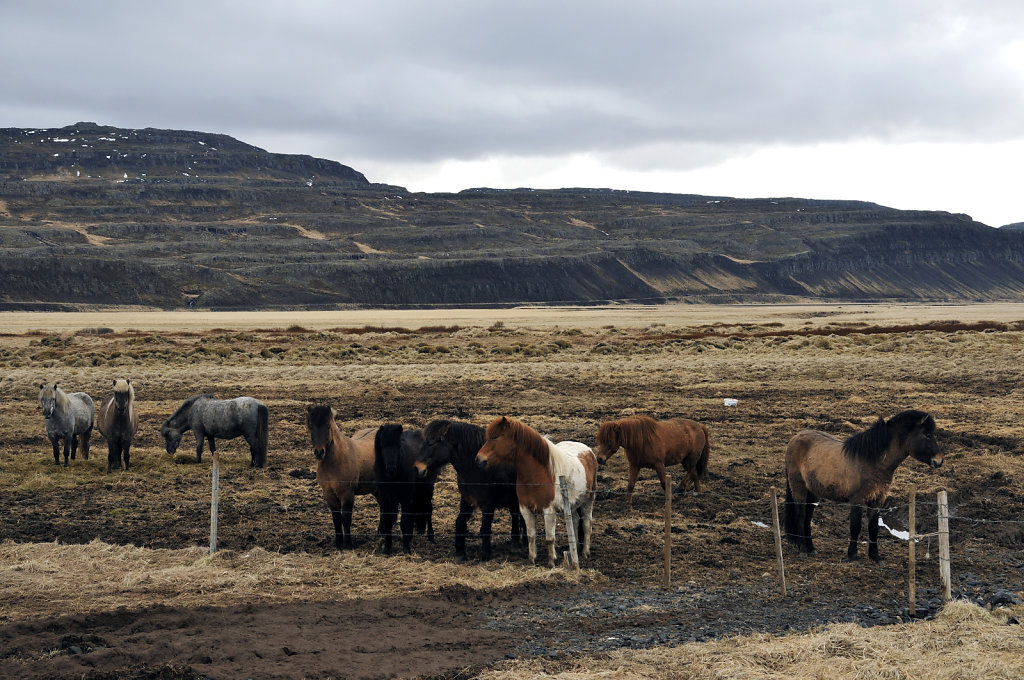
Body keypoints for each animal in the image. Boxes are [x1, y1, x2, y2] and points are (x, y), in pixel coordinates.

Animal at [307, 405, 380, 548]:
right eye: (311, 426)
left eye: (328, 426)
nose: (319, 452)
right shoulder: (329, 494)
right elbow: (336, 519)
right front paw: (338, 543)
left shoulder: (347, 494)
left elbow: (346, 519)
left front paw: (348, 544)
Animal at [372, 421, 432, 557]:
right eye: (382, 446)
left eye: (399, 446)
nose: (391, 469)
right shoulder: (385, 498)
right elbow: (388, 521)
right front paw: (387, 548)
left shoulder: (405, 497)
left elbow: (404, 522)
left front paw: (406, 549)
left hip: (427, 490)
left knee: (428, 510)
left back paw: (431, 536)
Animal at [411, 419, 524, 561]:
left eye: (434, 442)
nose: (417, 469)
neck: (478, 469)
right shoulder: (466, 500)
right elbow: (460, 523)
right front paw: (460, 553)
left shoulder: (488, 504)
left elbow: (485, 528)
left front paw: (485, 554)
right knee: (515, 516)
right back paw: (515, 542)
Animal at [473, 413, 598, 569]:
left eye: (496, 437)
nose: (478, 459)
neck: (538, 474)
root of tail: (588, 450)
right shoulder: (525, 509)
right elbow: (531, 535)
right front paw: (532, 559)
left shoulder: (549, 510)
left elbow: (550, 538)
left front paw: (551, 562)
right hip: (573, 504)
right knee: (574, 522)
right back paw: (573, 549)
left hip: (589, 500)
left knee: (587, 525)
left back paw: (585, 553)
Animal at [782, 409, 942, 561]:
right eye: (927, 434)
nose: (939, 461)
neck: (873, 461)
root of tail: (794, 439)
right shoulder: (857, 500)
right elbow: (856, 526)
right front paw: (852, 555)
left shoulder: (878, 499)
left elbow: (873, 527)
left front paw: (875, 556)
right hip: (799, 488)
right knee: (801, 515)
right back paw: (803, 549)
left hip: (813, 491)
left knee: (808, 517)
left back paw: (811, 548)